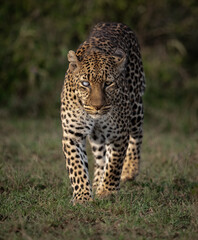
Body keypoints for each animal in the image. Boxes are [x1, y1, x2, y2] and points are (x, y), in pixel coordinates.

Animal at [60, 22, 145, 204]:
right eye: (85, 83)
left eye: (108, 83)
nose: (97, 106)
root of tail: (114, 23)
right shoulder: (72, 134)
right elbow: (77, 167)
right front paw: (83, 197)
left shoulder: (118, 134)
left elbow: (114, 164)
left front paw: (107, 192)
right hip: (97, 137)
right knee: (100, 158)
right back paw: (97, 181)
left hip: (136, 107)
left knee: (137, 135)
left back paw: (130, 170)